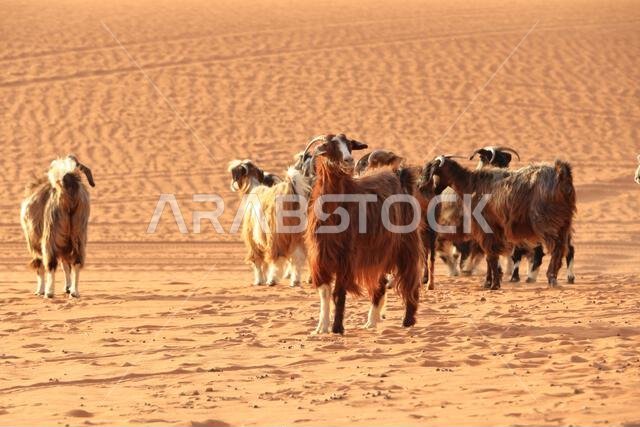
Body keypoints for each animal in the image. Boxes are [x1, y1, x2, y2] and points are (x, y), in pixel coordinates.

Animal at [20, 155, 95, 298]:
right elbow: (66, 266)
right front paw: (67, 288)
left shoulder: (34, 243)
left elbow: (40, 266)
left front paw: (39, 290)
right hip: (79, 232)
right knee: (76, 261)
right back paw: (74, 292)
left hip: (51, 232)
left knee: (50, 263)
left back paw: (49, 292)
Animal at [304, 134, 423, 334]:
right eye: (329, 145)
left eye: (349, 145)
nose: (348, 160)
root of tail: (398, 174)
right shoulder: (320, 256)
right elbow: (325, 293)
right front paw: (321, 328)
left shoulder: (346, 257)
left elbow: (339, 293)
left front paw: (337, 328)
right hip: (381, 250)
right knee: (380, 285)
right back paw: (371, 321)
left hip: (405, 244)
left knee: (410, 278)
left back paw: (408, 320)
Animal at [419, 155, 576, 290]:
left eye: (430, 170)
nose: (420, 187)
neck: (471, 184)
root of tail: (561, 174)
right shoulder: (494, 230)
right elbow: (490, 255)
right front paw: (490, 282)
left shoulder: (485, 228)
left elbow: (490, 255)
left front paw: (493, 284)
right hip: (564, 223)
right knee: (565, 248)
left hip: (546, 222)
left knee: (557, 248)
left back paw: (551, 278)